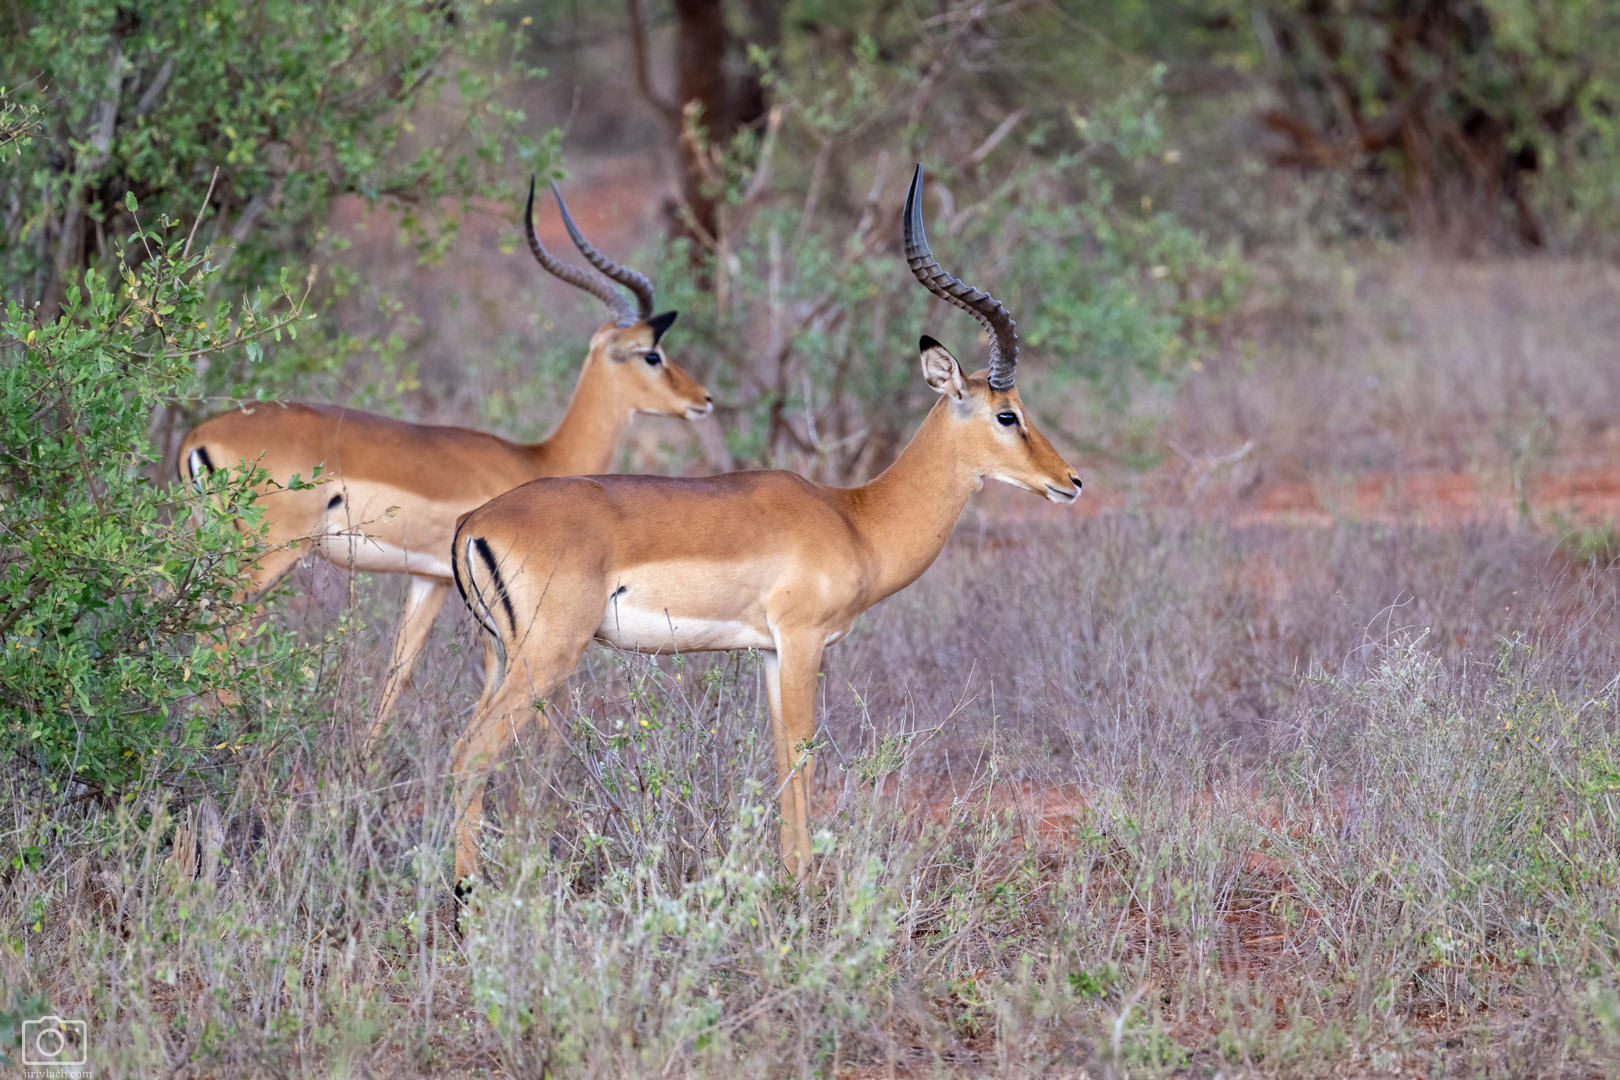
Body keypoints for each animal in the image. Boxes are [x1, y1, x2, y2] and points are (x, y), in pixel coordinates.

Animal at [180, 180, 712, 736]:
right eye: (652, 355)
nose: (703, 399)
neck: (537, 458)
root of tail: (199, 435)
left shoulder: (429, 580)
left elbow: (397, 672)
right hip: (267, 557)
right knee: (217, 635)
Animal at [446, 165, 1082, 885]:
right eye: (1008, 414)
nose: (1070, 480)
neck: (855, 518)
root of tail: (475, 520)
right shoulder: (803, 641)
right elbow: (804, 752)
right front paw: (804, 881)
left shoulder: (771, 653)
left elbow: (780, 754)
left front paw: (786, 872)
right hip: (546, 655)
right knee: (471, 754)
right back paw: (466, 892)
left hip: (501, 654)